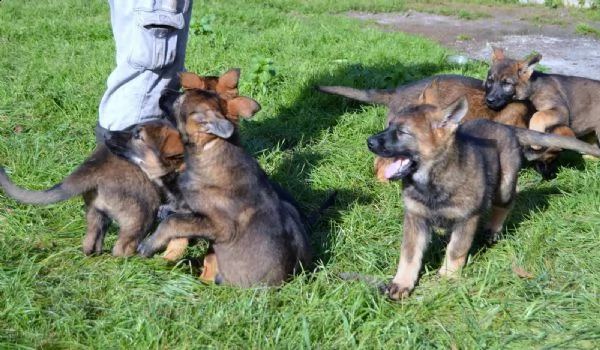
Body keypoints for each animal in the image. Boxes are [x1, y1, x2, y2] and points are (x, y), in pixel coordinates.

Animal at [366, 97, 600, 300]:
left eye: (402, 132)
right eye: (389, 126)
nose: (369, 142)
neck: (432, 181)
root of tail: (507, 128)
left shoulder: (466, 219)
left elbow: (455, 250)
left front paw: (448, 277)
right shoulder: (415, 218)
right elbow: (409, 255)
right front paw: (402, 283)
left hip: (504, 186)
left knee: (504, 205)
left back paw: (491, 232)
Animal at [486, 46, 600, 178]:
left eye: (507, 83)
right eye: (490, 81)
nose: (489, 100)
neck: (532, 87)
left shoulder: (561, 110)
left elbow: (539, 115)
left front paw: (536, 141)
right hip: (590, 134)